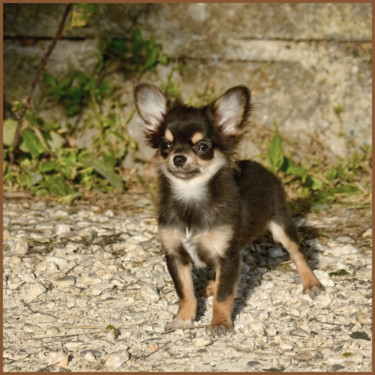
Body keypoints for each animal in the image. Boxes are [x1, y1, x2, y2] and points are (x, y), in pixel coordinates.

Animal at [134, 83, 324, 336]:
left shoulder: (228, 255)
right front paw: (183, 319)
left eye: (202, 147)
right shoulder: (176, 255)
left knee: (297, 252)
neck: (191, 196)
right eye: (166, 146)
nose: (178, 158)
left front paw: (220, 323)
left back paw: (311, 282)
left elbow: (224, 296)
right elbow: (185, 293)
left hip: (281, 223)